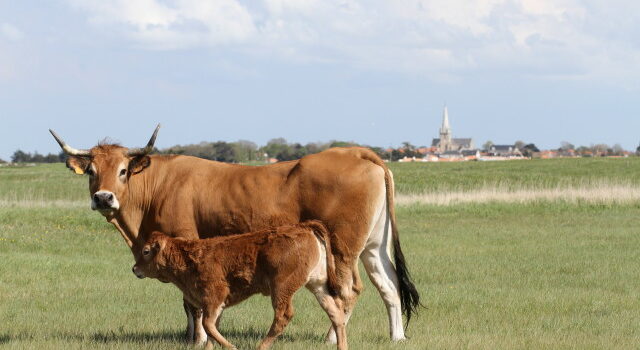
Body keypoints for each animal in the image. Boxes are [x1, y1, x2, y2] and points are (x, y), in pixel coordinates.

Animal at [132, 221, 348, 350]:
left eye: (145, 251)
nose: (134, 269)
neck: (189, 257)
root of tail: (303, 227)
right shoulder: (214, 306)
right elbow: (211, 329)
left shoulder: (214, 297)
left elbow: (207, 325)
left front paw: (232, 347)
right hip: (318, 285)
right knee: (335, 312)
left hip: (281, 288)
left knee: (283, 316)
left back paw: (261, 347)